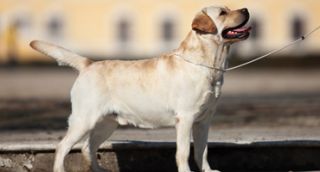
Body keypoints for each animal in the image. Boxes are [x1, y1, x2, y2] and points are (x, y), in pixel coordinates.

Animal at [30, 5, 250, 172]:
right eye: (222, 12)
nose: (246, 9)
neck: (209, 64)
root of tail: (89, 64)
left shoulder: (204, 120)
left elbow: (202, 151)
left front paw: (207, 170)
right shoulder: (186, 118)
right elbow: (184, 152)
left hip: (106, 123)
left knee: (87, 148)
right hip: (84, 119)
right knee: (62, 147)